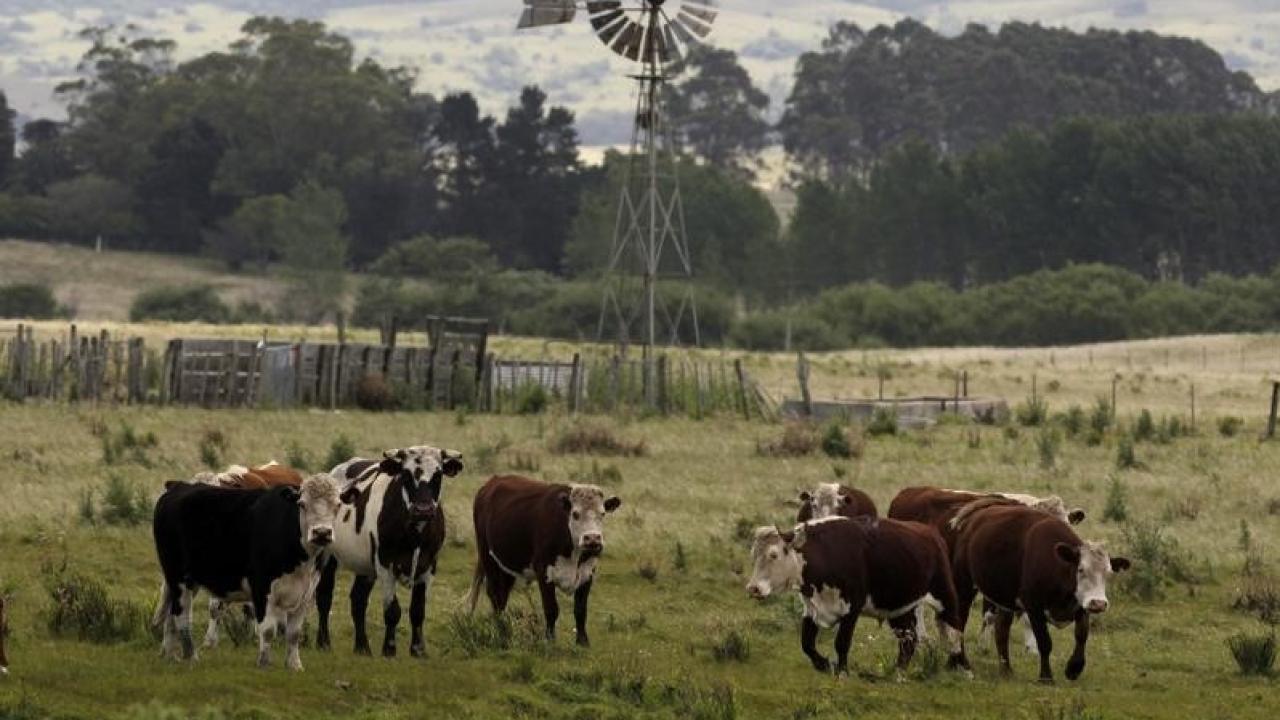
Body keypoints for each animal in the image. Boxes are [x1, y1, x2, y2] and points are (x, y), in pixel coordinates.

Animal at [152, 471, 343, 666]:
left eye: (337, 505)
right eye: (302, 504)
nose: (322, 533)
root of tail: (179, 486)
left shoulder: (306, 592)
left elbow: (294, 633)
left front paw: (294, 665)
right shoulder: (262, 586)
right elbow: (268, 630)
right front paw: (264, 663)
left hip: (187, 580)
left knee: (171, 616)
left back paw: (170, 654)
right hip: (177, 575)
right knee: (181, 615)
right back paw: (191, 657)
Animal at [468, 471, 622, 645]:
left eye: (602, 514)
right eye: (575, 514)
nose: (593, 539)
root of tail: (494, 480)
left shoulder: (587, 573)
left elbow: (580, 609)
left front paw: (582, 641)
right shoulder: (543, 571)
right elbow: (551, 609)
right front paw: (550, 640)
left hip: (507, 565)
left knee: (502, 595)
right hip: (488, 557)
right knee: (494, 594)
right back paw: (500, 629)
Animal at [747, 515, 962, 671]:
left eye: (773, 555)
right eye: (753, 554)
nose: (753, 588)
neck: (826, 552)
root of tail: (932, 534)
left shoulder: (852, 609)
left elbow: (842, 643)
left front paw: (842, 672)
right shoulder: (812, 609)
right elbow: (807, 644)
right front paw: (824, 664)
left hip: (944, 598)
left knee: (955, 632)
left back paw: (962, 667)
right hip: (899, 608)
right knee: (908, 640)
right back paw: (898, 672)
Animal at [947, 497, 1126, 681]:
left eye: (1108, 572)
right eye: (1081, 569)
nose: (1099, 603)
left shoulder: (1081, 604)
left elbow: (1081, 635)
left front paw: (1074, 668)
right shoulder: (1034, 608)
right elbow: (1045, 642)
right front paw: (1046, 677)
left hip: (1005, 598)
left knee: (1001, 630)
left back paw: (1006, 670)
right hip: (964, 585)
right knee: (959, 623)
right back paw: (958, 663)